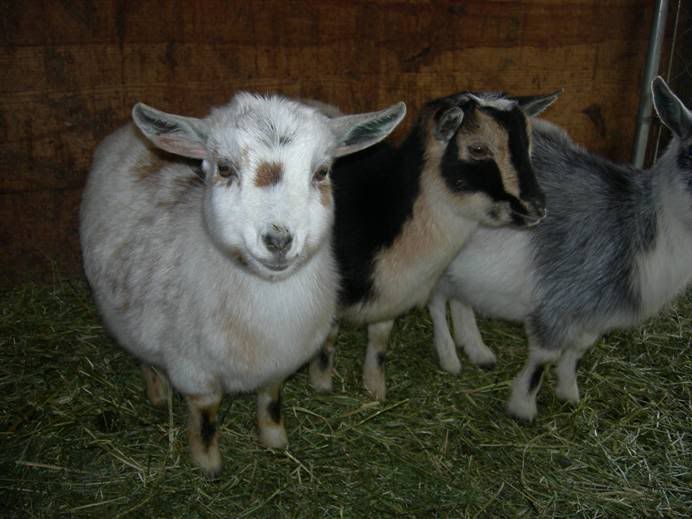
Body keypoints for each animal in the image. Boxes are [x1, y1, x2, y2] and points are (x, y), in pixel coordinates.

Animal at [80, 93, 406, 475]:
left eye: (322, 172)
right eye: (224, 168)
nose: (278, 240)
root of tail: (125, 133)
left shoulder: (277, 362)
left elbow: (271, 401)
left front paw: (276, 442)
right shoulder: (196, 374)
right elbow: (206, 418)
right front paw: (209, 467)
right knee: (143, 355)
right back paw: (158, 394)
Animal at [308, 89, 560, 400]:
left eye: (528, 144)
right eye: (478, 149)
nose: (537, 207)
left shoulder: (393, 295)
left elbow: (380, 340)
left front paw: (375, 389)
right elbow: (327, 341)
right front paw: (321, 385)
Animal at [429, 77, 692, 420]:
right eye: (691, 156)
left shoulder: (593, 314)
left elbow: (578, 350)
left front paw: (569, 393)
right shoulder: (557, 303)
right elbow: (545, 357)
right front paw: (523, 409)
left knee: (459, 299)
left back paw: (478, 350)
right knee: (436, 301)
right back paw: (449, 358)